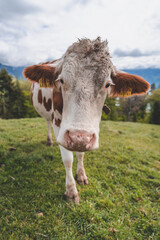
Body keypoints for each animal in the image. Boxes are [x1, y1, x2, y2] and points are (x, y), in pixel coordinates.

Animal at [22, 37, 150, 202]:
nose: (79, 138)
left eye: (107, 84)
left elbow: (80, 153)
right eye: (61, 80)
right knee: (47, 123)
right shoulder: (59, 124)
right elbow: (68, 158)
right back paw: (50, 141)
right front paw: (71, 190)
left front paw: (81, 175)